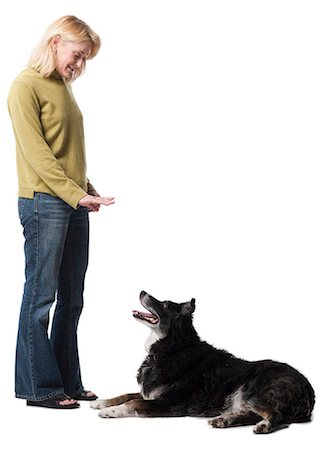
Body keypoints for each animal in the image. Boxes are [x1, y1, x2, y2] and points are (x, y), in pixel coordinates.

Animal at [91, 290, 316, 434]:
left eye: (164, 304)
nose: (142, 291)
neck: (172, 347)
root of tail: (309, 391)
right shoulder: (151, 393)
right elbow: (125, 395)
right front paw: (101, 402)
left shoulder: (170, 402)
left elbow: (133, 402)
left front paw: (109, 411)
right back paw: (224, 420)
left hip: (253, 389)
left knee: (276, 415)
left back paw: (263, 426)